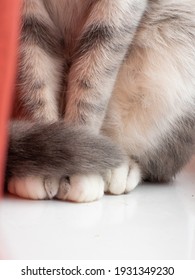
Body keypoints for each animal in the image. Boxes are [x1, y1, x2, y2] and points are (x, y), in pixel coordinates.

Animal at [5, 0, 195, 201]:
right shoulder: (25, 19)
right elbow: (35, 82)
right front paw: (44, 165)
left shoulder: (117, 12)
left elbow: (91, 84)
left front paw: (81, 167)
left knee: (154, 163)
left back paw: (121, 168)